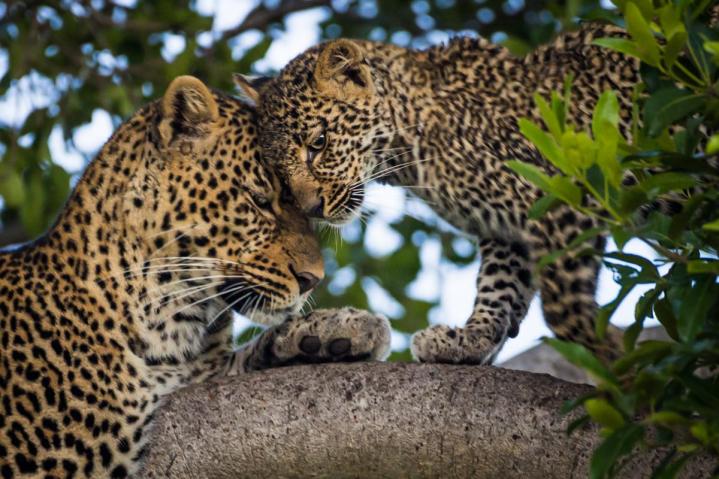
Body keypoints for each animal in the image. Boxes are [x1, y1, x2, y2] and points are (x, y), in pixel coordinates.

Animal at [239, 23, 644, 364]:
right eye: (278, 170)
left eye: (319, 143)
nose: (313, 208)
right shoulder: (510, 230)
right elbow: (499, 285)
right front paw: (470, 340)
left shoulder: (564, 197)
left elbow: (564, 310)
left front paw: (617, 359)